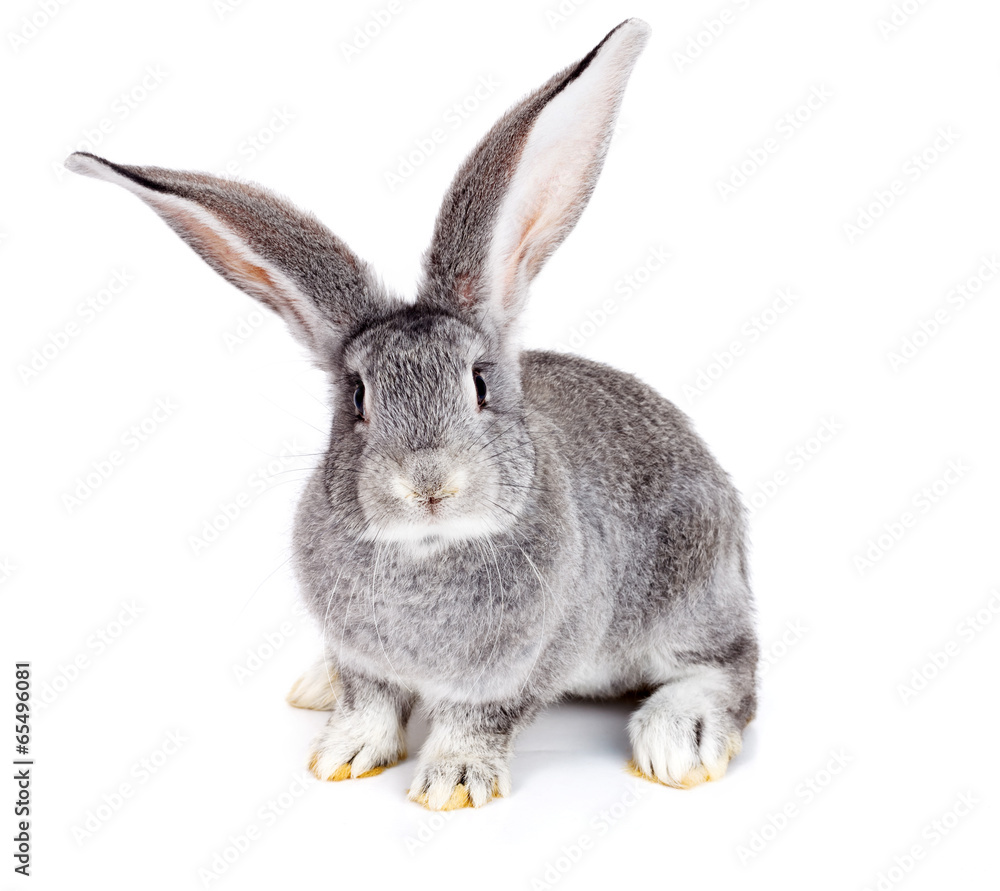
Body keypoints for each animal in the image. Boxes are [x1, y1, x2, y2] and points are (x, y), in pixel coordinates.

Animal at [65, 17, 757, 810]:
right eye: (357, 396)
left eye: (480, 384)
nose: (428, 483)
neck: (426, 552)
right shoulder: (365, 659)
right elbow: (368, 699)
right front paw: (342, 753)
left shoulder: (519, 669)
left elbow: (477, 719)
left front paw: (451, 781)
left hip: (688, 585)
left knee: (730, 664)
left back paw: (680, 739)